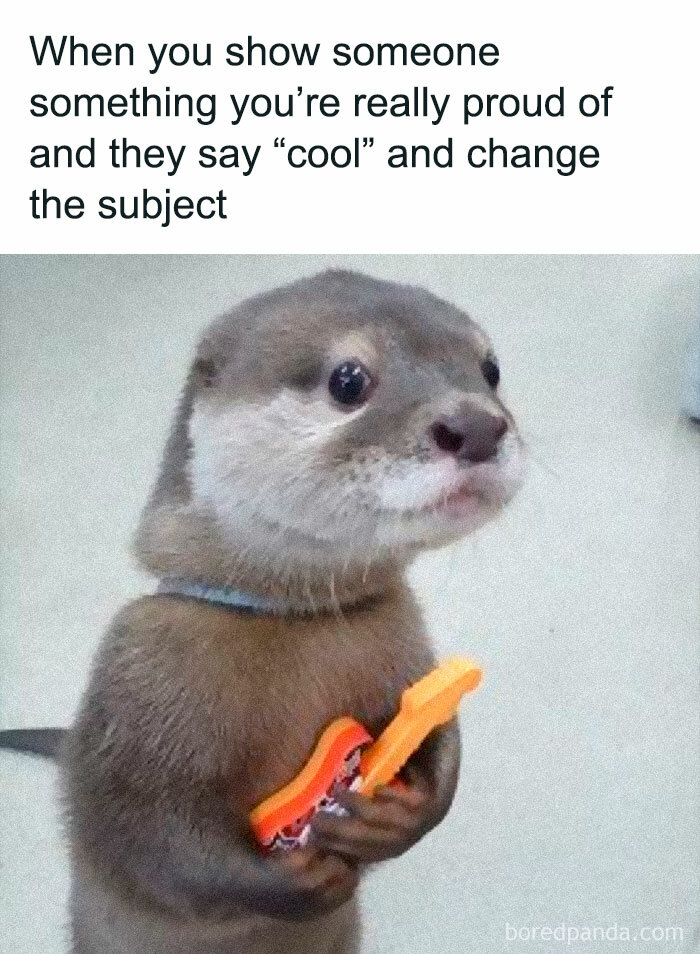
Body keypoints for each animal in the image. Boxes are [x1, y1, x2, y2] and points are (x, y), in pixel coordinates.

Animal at [0, 269, 524, 953]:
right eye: (348, 379)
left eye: (490, 369)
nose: (478, 426)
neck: (292, 617)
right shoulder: (131, 692)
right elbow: (148, 839)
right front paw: (294, 878)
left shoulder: (411, 649)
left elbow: (443, 735)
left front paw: (402, 814)